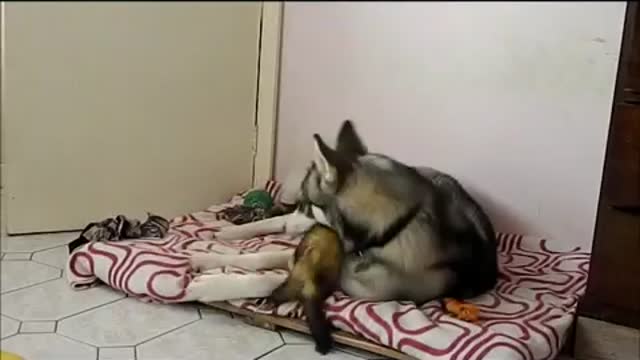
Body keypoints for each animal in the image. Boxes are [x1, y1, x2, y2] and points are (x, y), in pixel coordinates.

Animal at [190, 121, 500, 306]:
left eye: (309, 204)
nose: (291, 228)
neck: (391, 230)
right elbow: (260, 257)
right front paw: (209, 258)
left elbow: (270, 277)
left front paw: (213, 285)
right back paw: (236, 230)